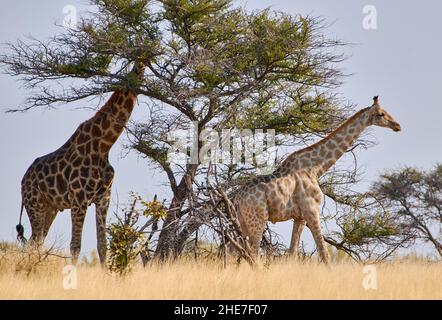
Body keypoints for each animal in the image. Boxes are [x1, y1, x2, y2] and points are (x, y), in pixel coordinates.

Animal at [16, 62, 145, 262]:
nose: (142, 66)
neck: (103, 145)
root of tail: (23, 181)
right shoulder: (79, 199)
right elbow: (75, 246)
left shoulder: (103, 198)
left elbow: (102, 245)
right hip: (35, 204)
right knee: (34, 241)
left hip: (51, 207)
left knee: (35, 241)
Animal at [233, 96, 402, 264]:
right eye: (381, 114)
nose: (397, 126)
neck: (315, 169)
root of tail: (238, 198)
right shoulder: (312, 211)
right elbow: (324, 253)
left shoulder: (299, 217)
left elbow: (292, 253)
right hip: (258, 219)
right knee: (253, 253)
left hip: (243, 221)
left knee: (234, 250)